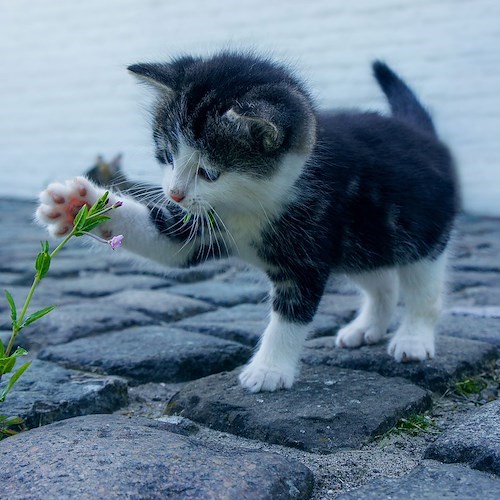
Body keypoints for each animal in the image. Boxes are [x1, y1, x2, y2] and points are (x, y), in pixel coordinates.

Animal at [37, 52, 458, 392]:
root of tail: (423, 134)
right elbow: (168, 242)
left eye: (209, 172)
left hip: (420, 232)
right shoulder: (202, 224)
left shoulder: (309, 245)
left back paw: (413, 338)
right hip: (362, 242)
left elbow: (291, 314)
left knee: (422, 288)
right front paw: (78, 205)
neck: (249, 203)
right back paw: (367, 326)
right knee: (381, 280)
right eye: (167, 155)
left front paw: (269, 370)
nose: (174, 193)